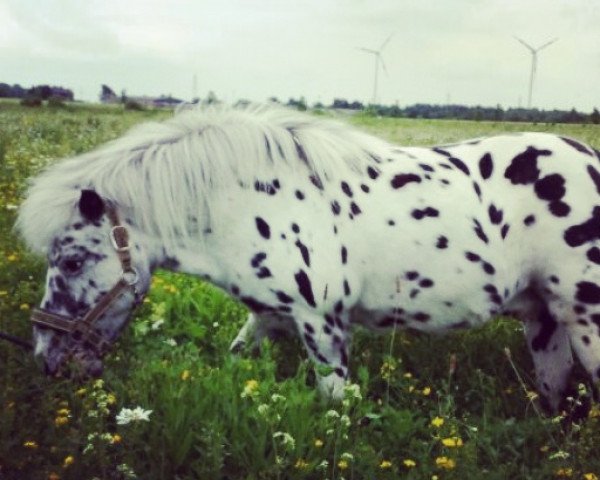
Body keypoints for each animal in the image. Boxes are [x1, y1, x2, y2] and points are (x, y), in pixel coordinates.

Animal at [16, 104, 600, 408]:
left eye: (71, 262)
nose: (46, 358)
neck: (248, 202)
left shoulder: (320, 323)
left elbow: (335, 406)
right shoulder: (267, 318)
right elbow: (238, 356)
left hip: (586, 320)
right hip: (545, 324)